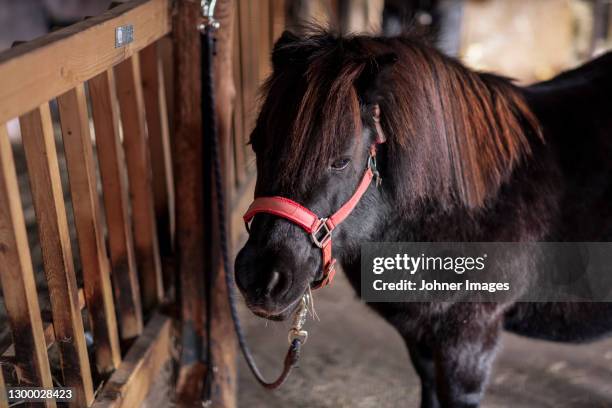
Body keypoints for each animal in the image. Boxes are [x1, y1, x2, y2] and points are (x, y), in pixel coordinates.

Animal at [233, 30, 612, 406]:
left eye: (340, 160)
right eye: (255, 143)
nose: (261, 277)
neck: (461, 205)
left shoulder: (469, 343)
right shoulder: (421, 340)